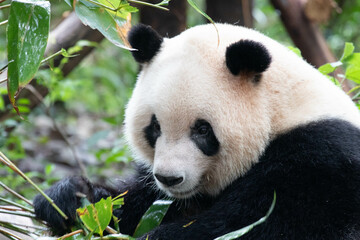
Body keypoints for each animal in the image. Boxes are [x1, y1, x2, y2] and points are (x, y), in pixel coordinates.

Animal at [33, 23, 360, 240]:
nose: (169, 178)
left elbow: (254, 226)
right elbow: (130, 205)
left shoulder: (321, 163)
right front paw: (68, 198)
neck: (280, 112)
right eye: (155, 127)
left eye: (203, 130)